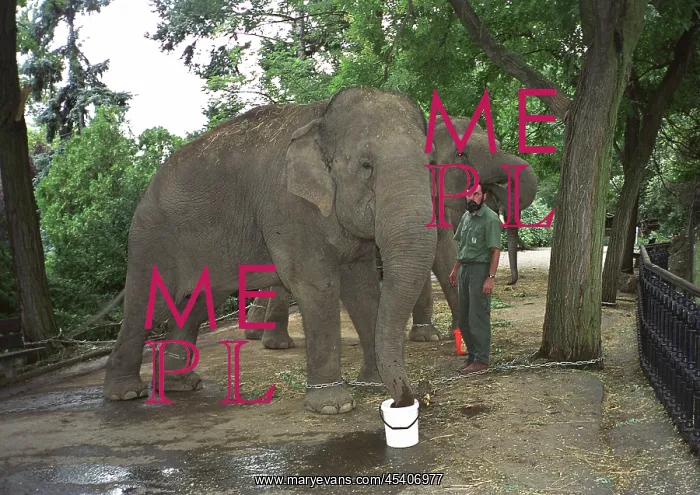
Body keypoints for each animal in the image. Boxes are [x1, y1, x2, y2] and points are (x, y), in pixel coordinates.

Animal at [102, 86, 438, 414]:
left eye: (432, 163)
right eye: (366, 166)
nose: (407, 399)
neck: (321, 114)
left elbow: (364, 289)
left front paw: (372, 385)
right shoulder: (288, 207)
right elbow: (318, 286)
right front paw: (333, 406)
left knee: (195, 304)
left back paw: (181, 385)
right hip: (152, 239)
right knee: (149, 305)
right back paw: (126, 393)